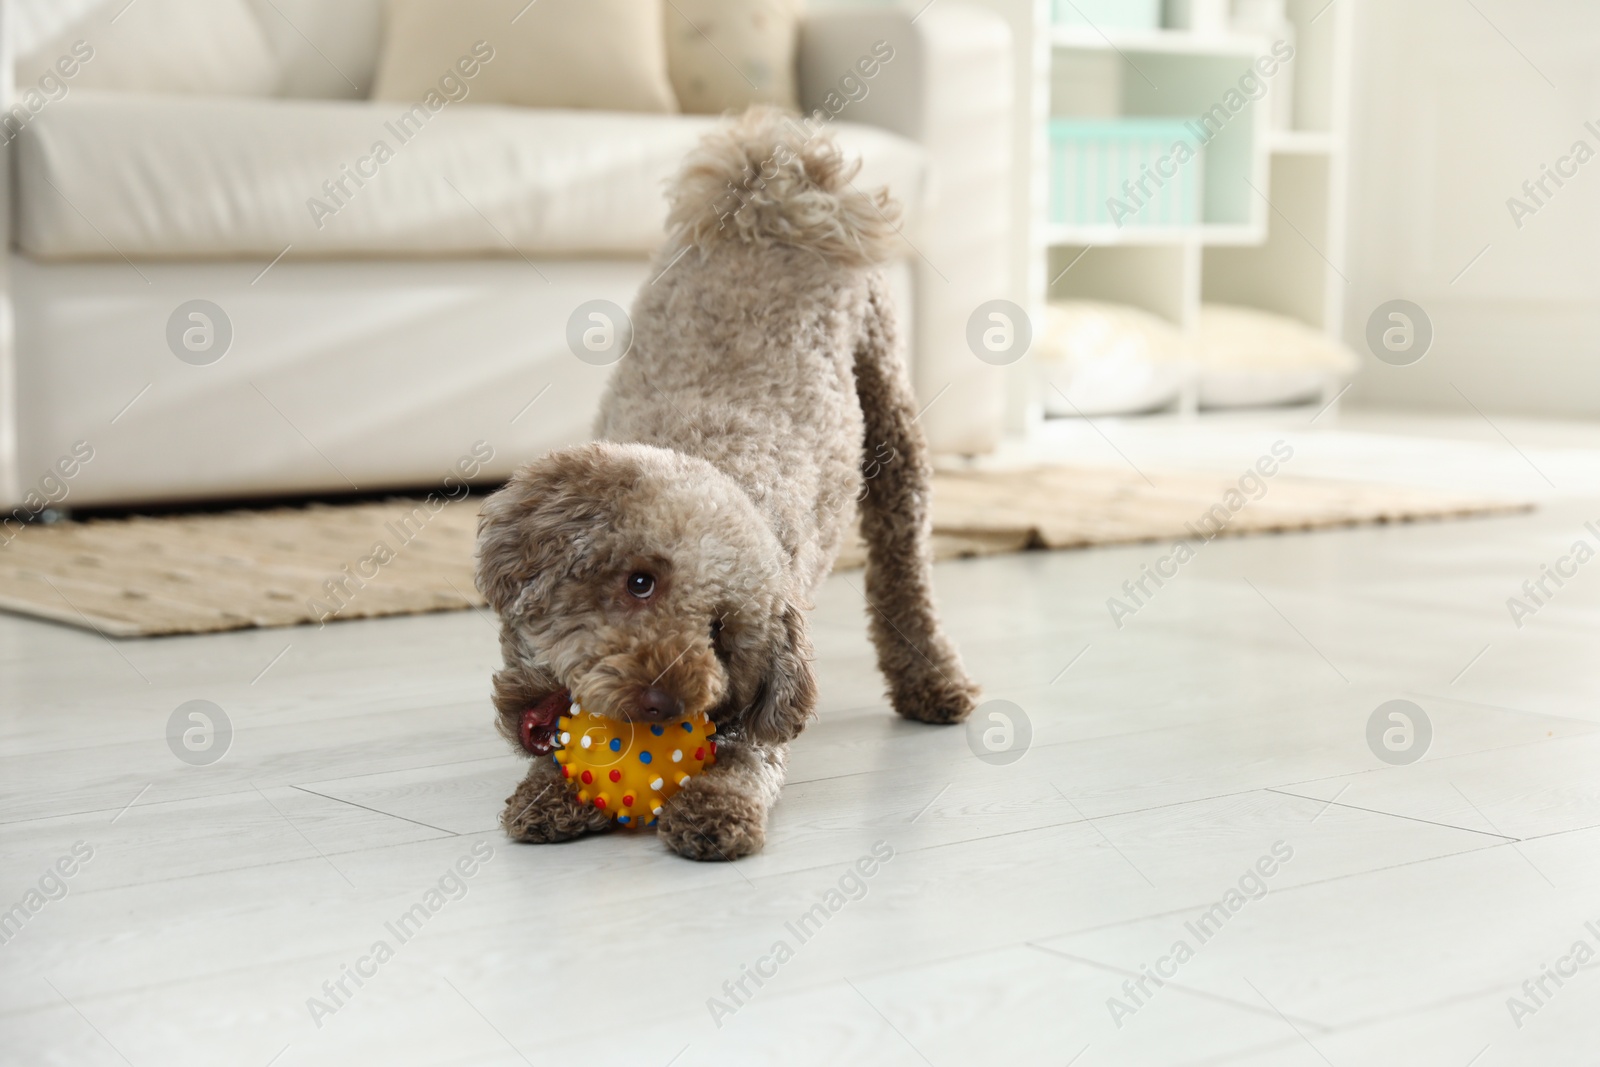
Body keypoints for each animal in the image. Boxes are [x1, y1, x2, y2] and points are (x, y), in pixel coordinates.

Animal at [467, 106, 979, 857]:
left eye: (721, 633)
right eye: (641, 581)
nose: (664, 700)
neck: (721, 455)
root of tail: (780, 186)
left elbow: (751, 754)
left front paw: (716, 807)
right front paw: (548, 790)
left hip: (890, 423)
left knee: (904, 568)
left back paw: (933, 679)